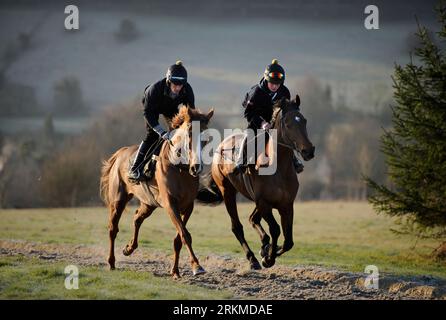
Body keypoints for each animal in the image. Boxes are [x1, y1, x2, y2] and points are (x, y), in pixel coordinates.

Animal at [99, 106, 214, 278]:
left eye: (206, 137)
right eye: (189, 133)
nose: (196, 168)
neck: (180, 167)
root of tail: (120, 153)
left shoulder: (188, 206)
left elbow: (178, 239)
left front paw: (175, 271)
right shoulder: (170, 204)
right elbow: (185, 235)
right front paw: (196, 266)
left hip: (149, 203)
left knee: (137, 218)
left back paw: (129, 248)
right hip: (118, 200)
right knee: (113, 229)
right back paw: (111, 262)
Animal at [197, 97, 316, 270]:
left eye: (304, 121)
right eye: (288, 124)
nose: (309, 151)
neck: (278, 168)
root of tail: (221, 146)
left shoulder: (286, 205)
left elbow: (288, 241)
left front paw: (269, 251)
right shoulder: (264, 203)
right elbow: (275, 229)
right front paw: (268, 258)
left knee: (253, 219)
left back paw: (264, 246)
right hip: (228, 192)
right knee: (237, 226)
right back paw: (252, 258)